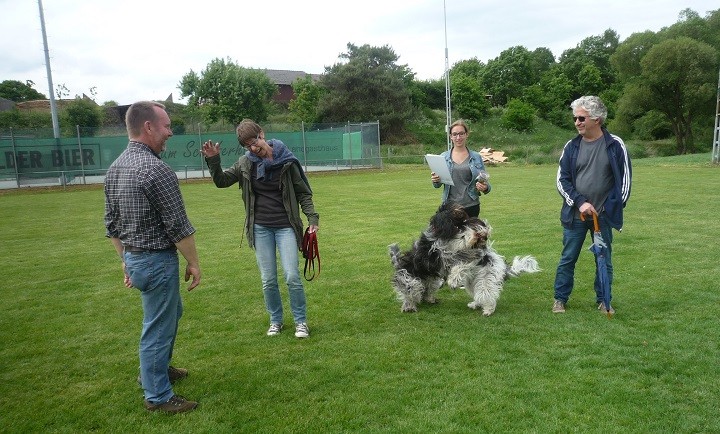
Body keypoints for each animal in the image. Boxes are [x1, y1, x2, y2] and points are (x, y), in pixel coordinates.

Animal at [388, 203, 540, 316]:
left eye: (464, 222)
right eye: (458, 224)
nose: (481, 234)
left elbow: (463, 260)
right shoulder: (441, 256)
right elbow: (461, 256)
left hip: (482, 280)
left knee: (485, 295)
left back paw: (486, 309)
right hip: (412, 280)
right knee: (412, 293)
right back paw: (410, 306)